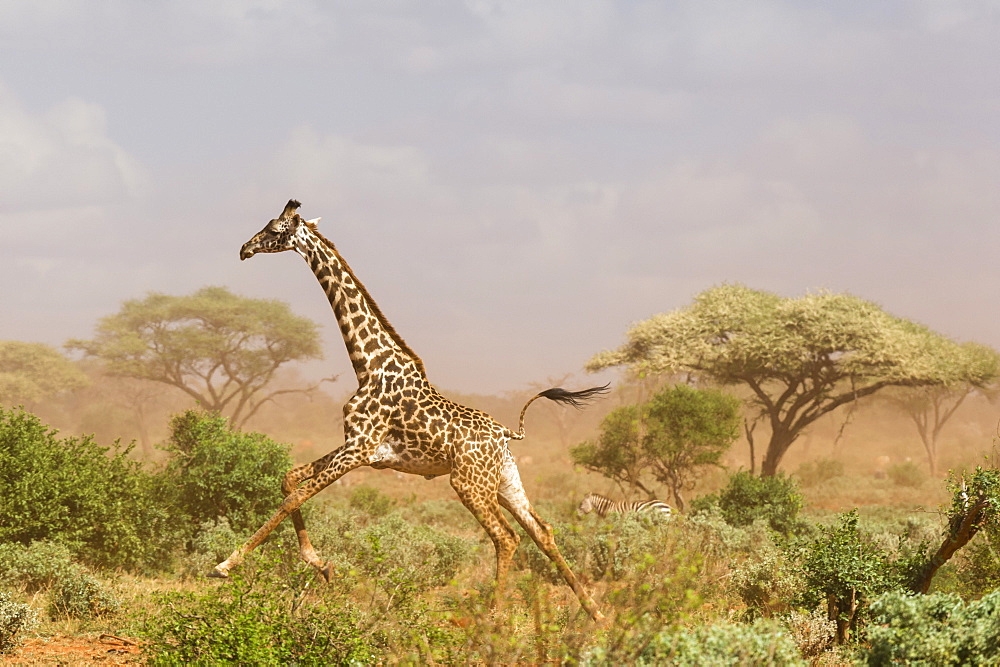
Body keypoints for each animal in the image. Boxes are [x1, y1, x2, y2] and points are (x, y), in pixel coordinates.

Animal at [209, 201, 608, 624]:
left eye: (274, 229)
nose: (244, 249)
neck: (369, 364)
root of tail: (506, 434)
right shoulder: (359, 447)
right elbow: (288, 481)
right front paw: (322, 566)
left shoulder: (359, 448)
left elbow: (294, 497)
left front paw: (225, 565)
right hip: (504, 480)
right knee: (542, 531)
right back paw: (595, 614)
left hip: (468, 483)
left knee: (507, 537)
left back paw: (492, 619)